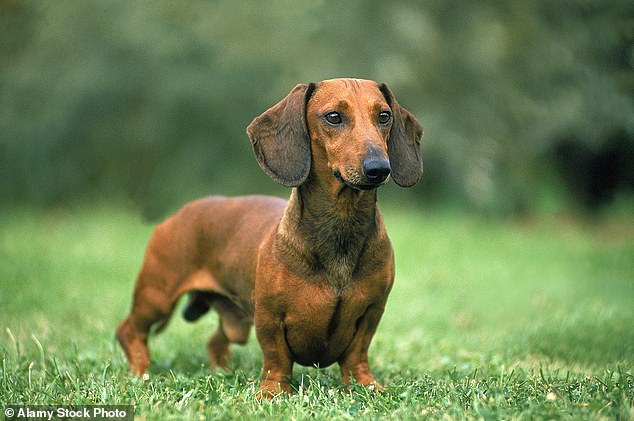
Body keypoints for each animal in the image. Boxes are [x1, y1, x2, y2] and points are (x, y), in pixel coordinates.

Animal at [116, 79, 422, 398]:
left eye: (384, 116)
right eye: (334, 117)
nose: (379, 169)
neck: (341, 228)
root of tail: (176, 215)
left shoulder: (372, 312)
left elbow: (357, 354)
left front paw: (366, 385)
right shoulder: (269, 316)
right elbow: (276, 357)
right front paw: (273, 392)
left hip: (235, 320)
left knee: (215, 342)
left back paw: (221, 372)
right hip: (156, 295)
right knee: (128, 331)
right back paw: (140, 373)